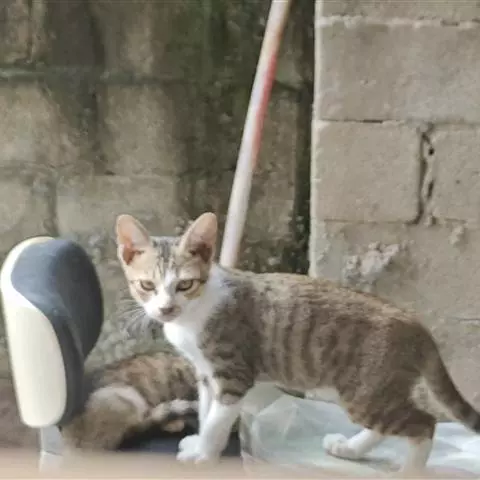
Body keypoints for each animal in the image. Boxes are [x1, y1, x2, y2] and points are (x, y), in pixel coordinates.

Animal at [115, 212, 480, 472]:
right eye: (147, 286)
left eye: (185, 284)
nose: (165, 308)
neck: (193, 314)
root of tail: (415, 323)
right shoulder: (206, 373)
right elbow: (207, 411)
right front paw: (202, 445)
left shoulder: (233, 373)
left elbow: (219, 417)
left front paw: (204, 453)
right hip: (371, 392)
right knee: (390, 424)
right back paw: (350, 448)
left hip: (368, 391)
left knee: (425, 423)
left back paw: (409, 471)